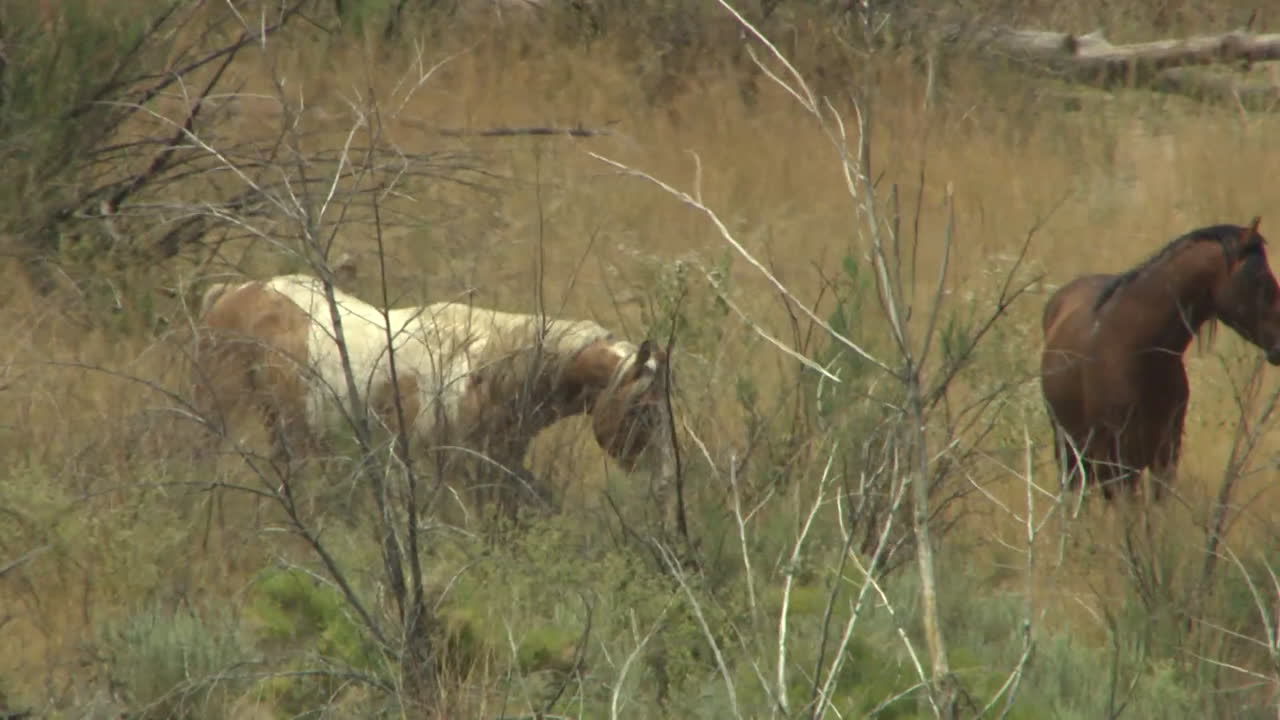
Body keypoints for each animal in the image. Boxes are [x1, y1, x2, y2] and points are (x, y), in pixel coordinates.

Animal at [191, 271, 676, 524]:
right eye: (640, 409)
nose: (665, 483)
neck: (483, 372)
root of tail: (234, 291)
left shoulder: (502, 466)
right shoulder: (458, 471)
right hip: (224, 418)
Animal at [1040, 218, 1280, 502]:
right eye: (1261, 279)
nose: (1279, 346)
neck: (1138, 350)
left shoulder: (1165, 455)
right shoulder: (1120, 460)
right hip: (1072, 452)